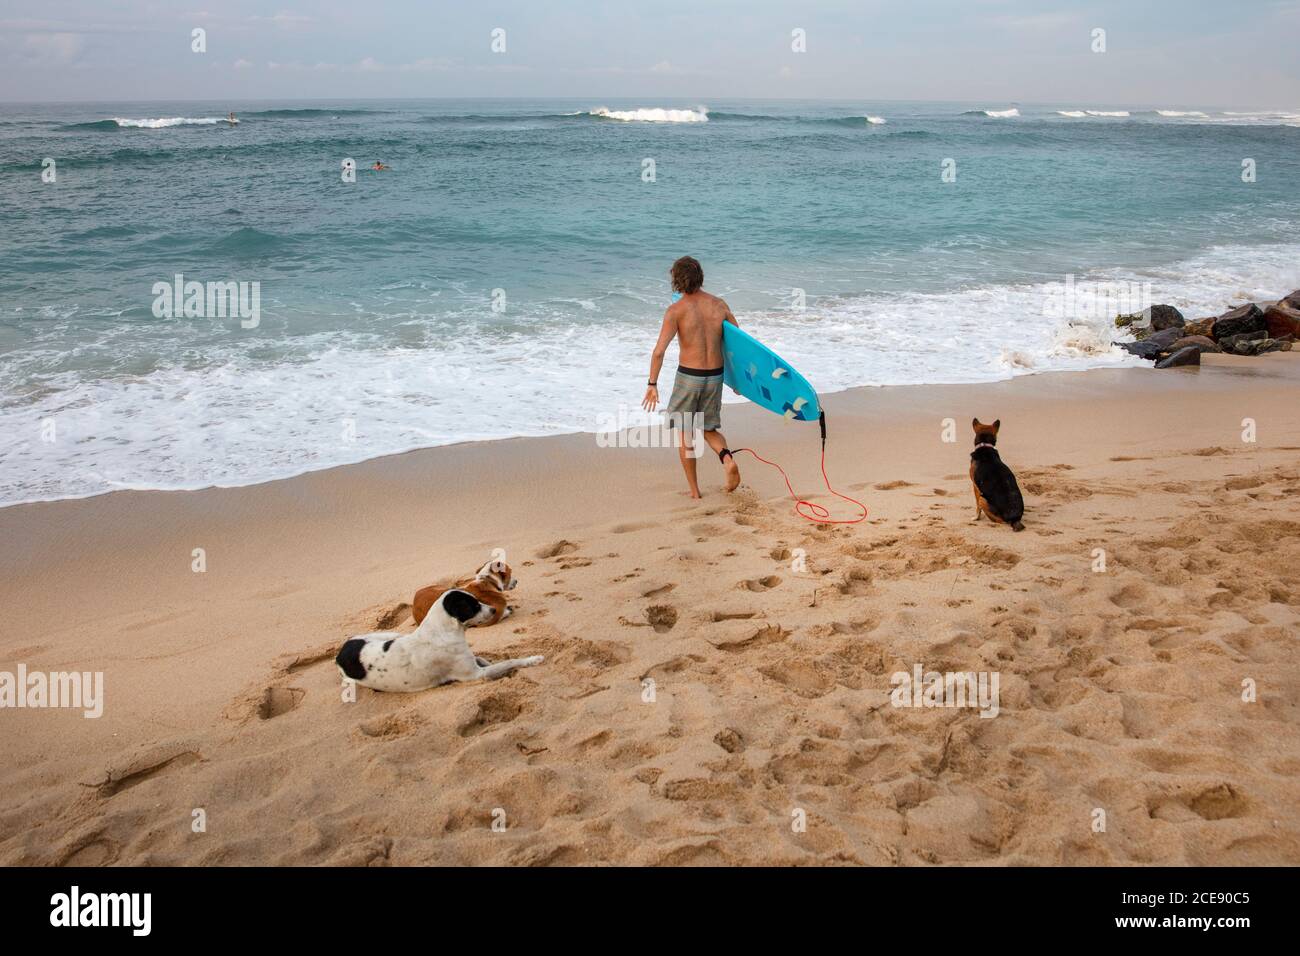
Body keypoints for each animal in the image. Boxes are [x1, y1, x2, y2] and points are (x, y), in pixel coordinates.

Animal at [338, 587, 546, 691]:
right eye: (473, 605)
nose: (494, 610)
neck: (442, 631)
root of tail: (340, 653)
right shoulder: (476, 675)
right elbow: (509, 662)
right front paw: (532, 659)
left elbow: (485, 659)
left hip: (390, 635)